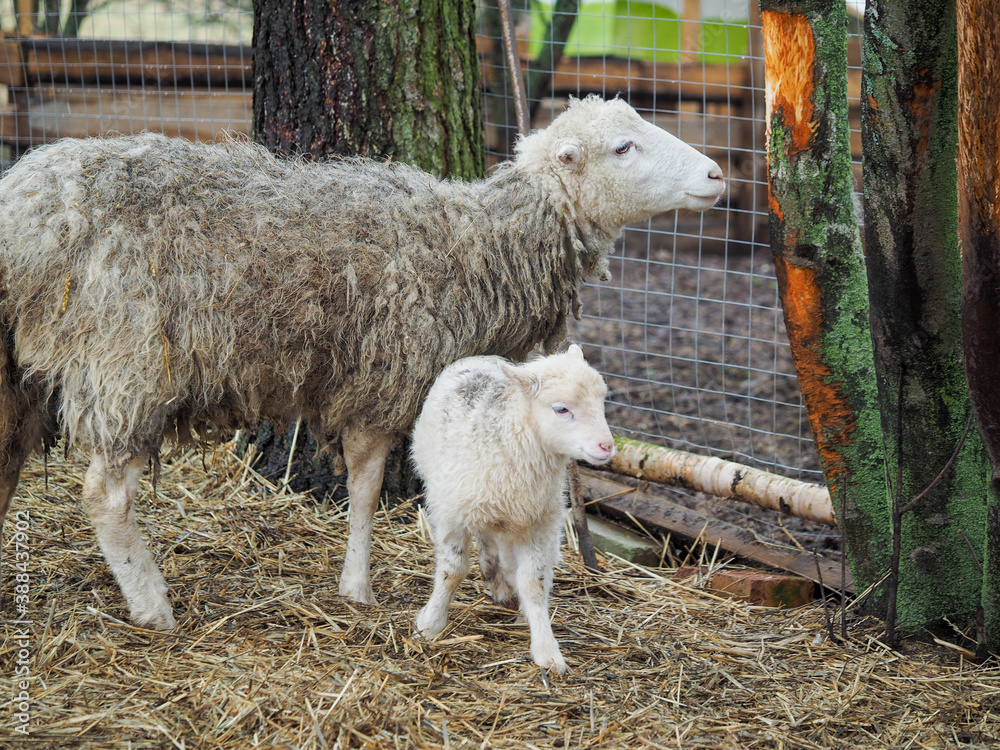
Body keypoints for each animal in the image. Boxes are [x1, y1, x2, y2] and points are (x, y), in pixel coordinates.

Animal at [0, 95, 724, 630]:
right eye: (624, 147)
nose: (718, 174)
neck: (481, 244)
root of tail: (25, 210)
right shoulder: (385, 377)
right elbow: (367, 487)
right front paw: (359, 586)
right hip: (129, 360)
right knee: (105, 493)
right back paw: (153, 605)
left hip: (21, 372)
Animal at [411, 344, 615, 674]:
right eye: (561, 409)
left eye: (602, 401)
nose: (607, 446)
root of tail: (482, 356)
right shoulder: (452, 513)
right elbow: (452, 572)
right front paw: (430, 624)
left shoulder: (536, 523)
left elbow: (534, 582)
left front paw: (546, 648)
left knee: (501, 552)